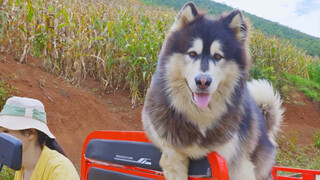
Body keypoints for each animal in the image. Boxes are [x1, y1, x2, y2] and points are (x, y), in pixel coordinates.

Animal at [141, 2, 284, 179]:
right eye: (192, 53)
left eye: (218, 56)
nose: (203, 81)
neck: (199, 115)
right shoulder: (171, 152)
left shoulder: (234, 162)